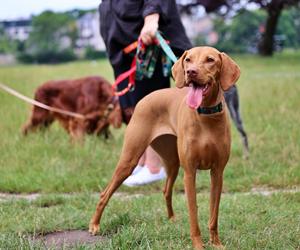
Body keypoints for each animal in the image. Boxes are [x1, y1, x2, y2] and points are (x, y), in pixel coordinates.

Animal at [88, 46, 240, 248]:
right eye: (188, 60)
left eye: (210, 60)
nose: (190, 72)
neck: (205, 115)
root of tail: (145, 98)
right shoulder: (190, 173)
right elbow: (194, 215)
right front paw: (198, 245)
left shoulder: (217, 173)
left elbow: (213, 215)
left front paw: (216, 244)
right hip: (129, 160)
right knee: (105, 194)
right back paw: (95, 224)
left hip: (173, 162)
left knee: (166, 190)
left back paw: (172, 219)